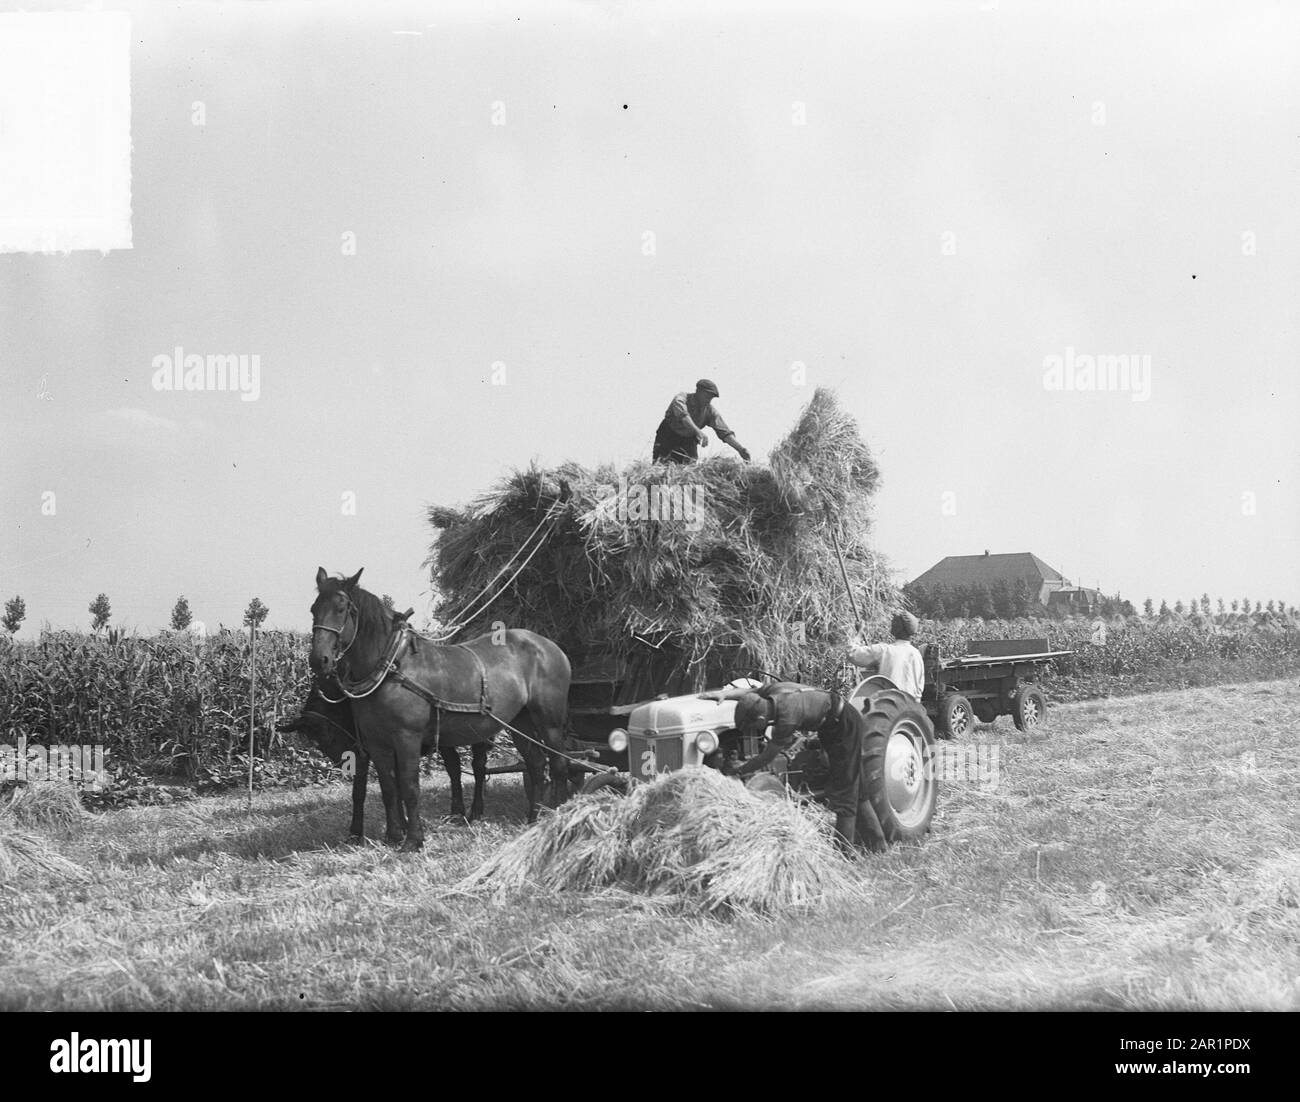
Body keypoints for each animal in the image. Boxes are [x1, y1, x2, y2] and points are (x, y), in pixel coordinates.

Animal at [306, 569, 572, 852]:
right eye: (314, 609)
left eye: (341, 608)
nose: (319, 660)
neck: (392, 666)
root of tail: (550, 646)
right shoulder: (376, 743)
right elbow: (389, 788)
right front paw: (393, 836)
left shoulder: (407, 738)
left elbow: (409, 787)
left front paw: (414, 840)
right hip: (520, 722)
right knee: (536, 765)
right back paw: (534, 818)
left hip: (549, 721)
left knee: (559, 764)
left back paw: (558, 814)